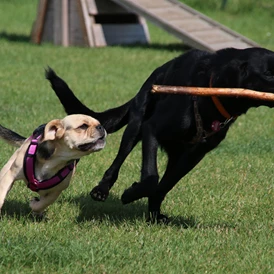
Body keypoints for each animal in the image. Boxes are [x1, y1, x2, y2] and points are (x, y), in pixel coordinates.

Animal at [45, 47, 274, 223]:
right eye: (268, 73)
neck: (211, 90)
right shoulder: (151, 129)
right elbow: (151, 178)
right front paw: (130, 194)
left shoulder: (194, 155)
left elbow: (164, 185)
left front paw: (152, 209)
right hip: (135, 127)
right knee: (118, 161)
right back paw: (102, 189)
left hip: (175, 153)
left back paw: (154, 214)